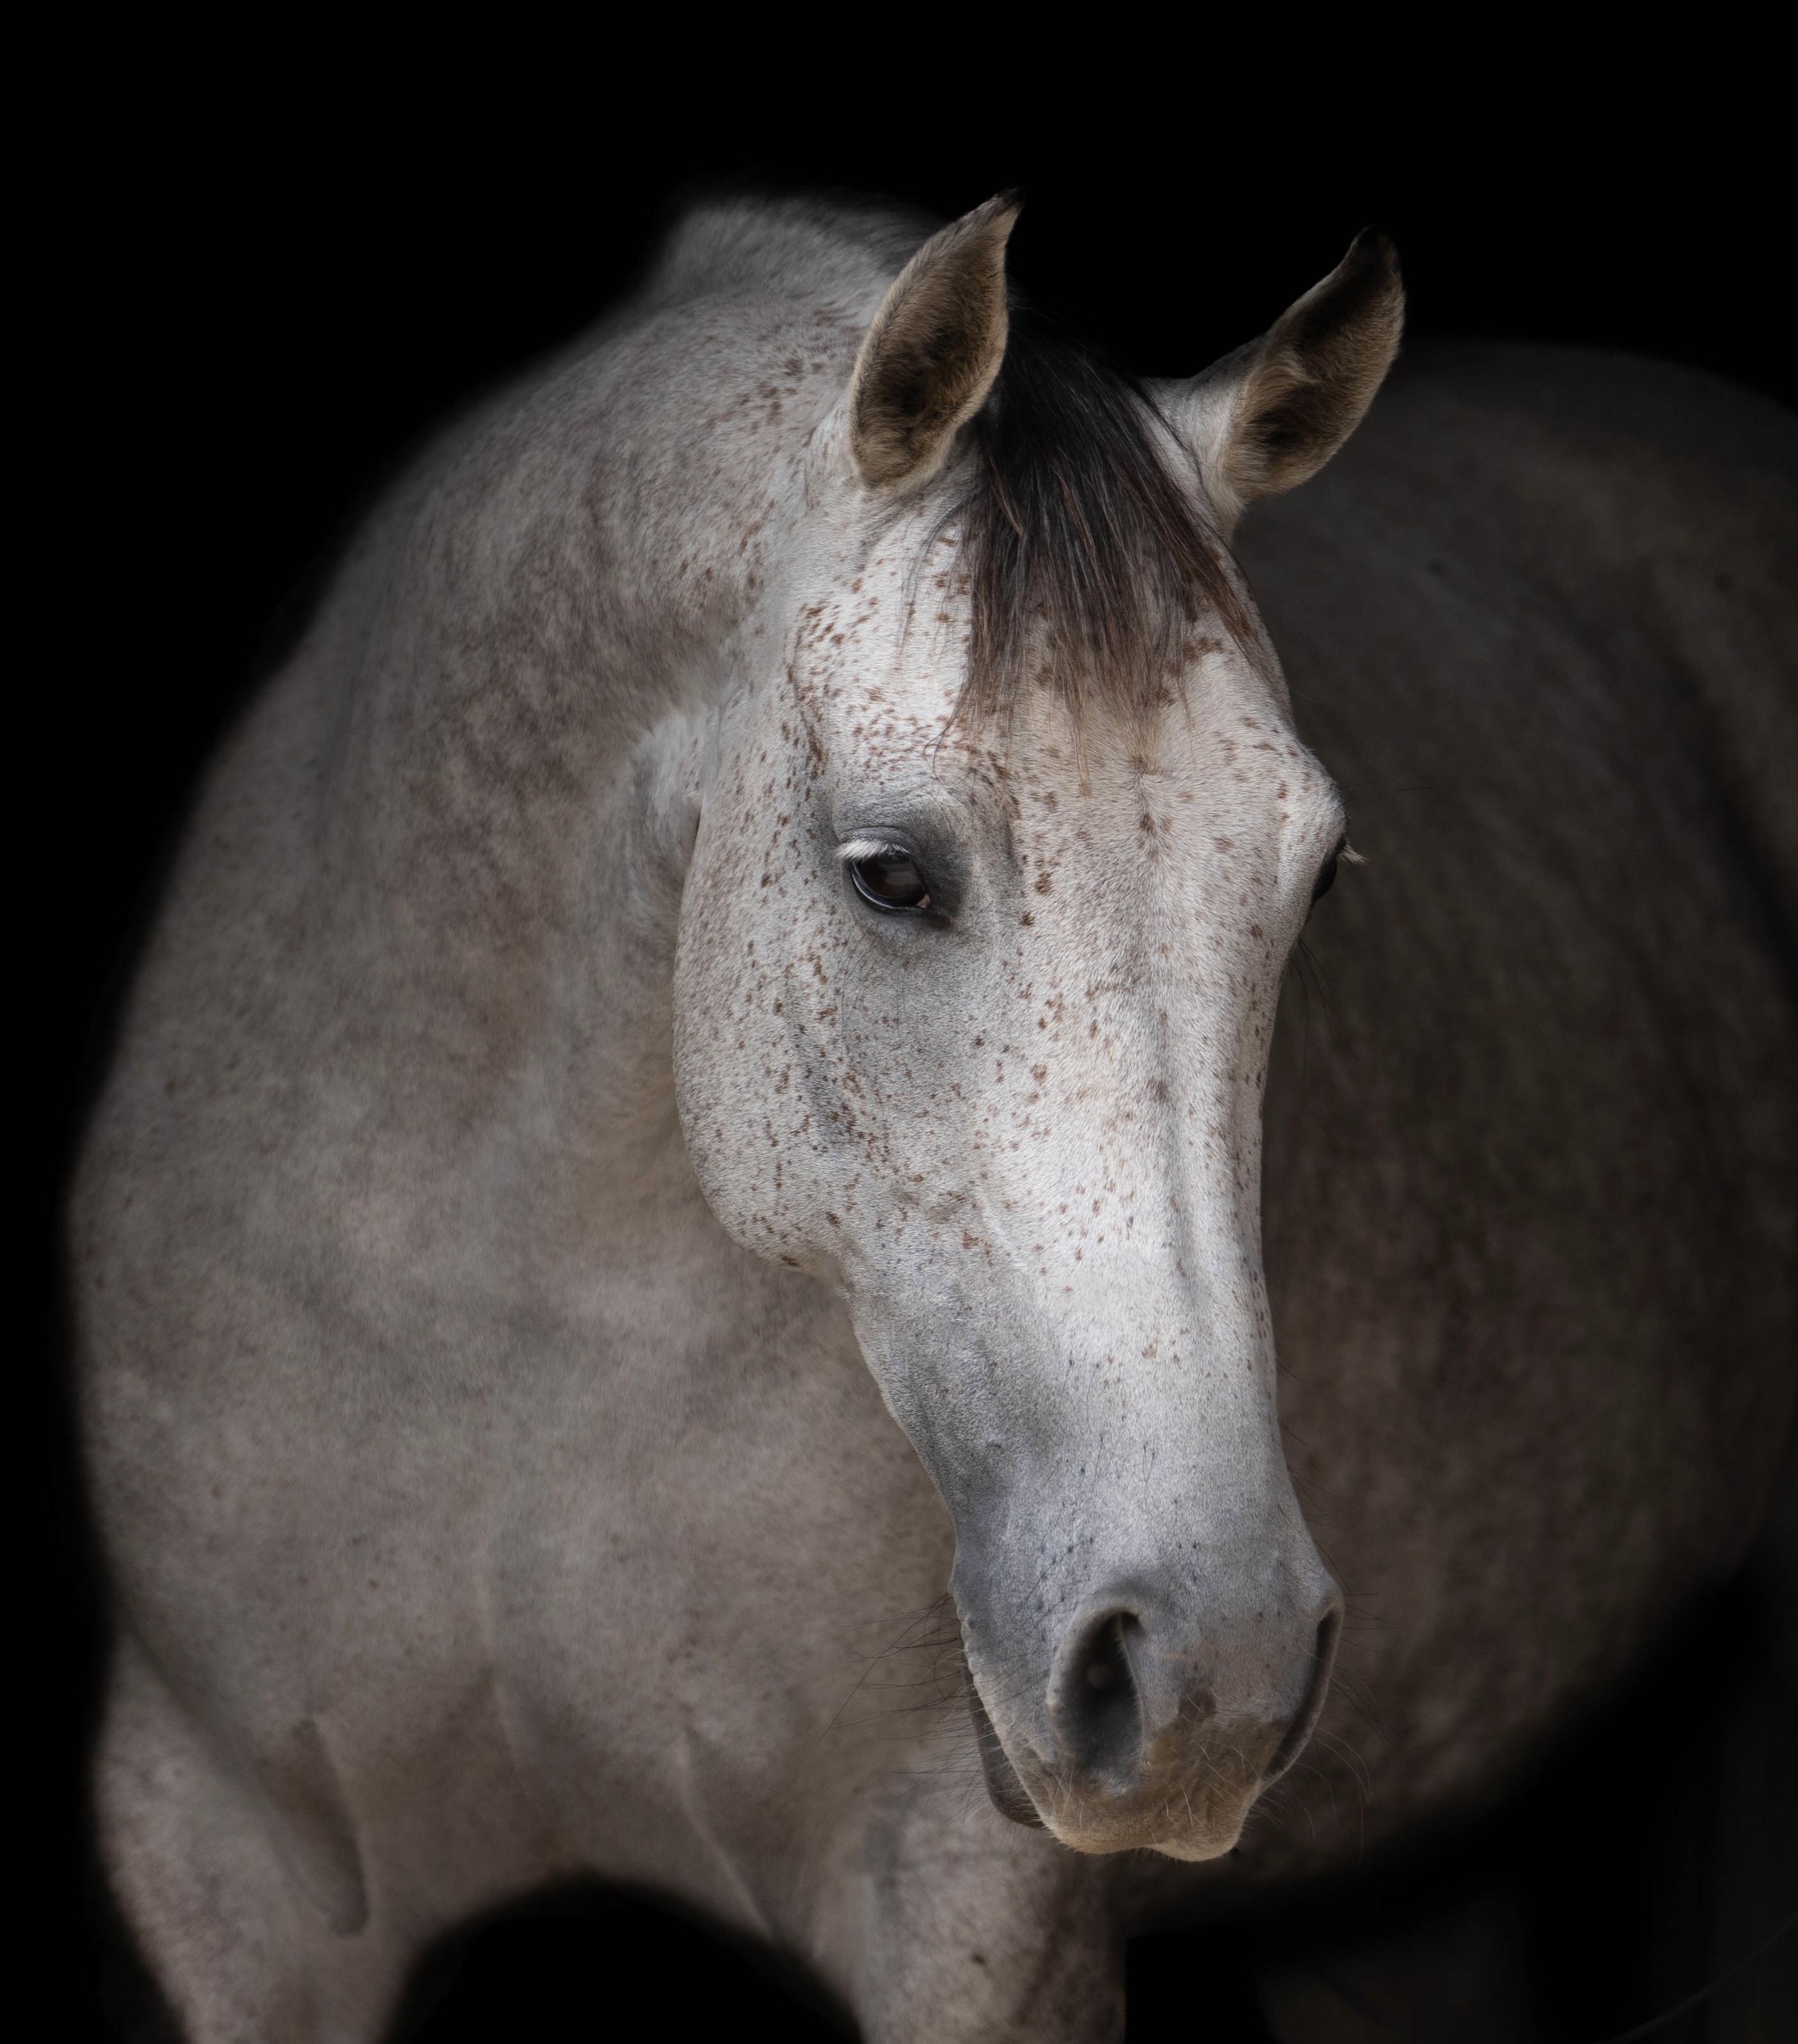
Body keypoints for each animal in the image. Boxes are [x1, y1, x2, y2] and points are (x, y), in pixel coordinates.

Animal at [69, 192, 1797, 2041]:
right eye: (891, 875)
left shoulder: (971, 1902)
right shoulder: (224, 1870)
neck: (511, 1324)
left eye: (1317, 876)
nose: (1212, 1666)